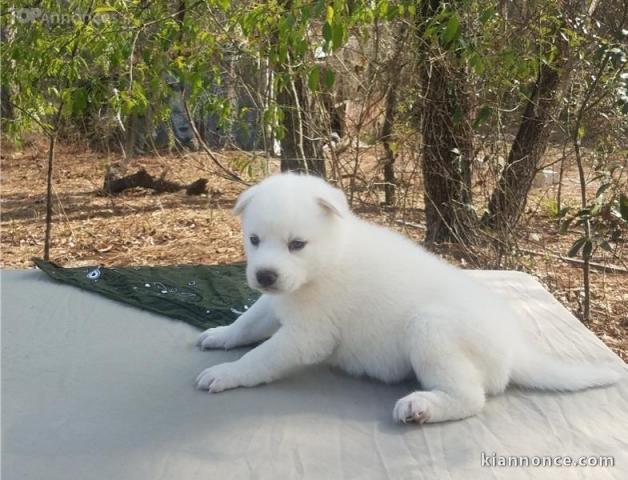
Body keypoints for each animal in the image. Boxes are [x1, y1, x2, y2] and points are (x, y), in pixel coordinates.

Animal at [195, 172, 620, 424]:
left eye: (296, 244)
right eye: (254, 240)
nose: (265, 275)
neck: (328, 259)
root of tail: (514, 350)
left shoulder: (307, 335)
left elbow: (260, 357)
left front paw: (227, 373)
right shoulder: (274, 302)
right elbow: (246, 322)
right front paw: (221, 335)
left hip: (431, 329)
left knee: (471, 398)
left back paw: (423, 406)